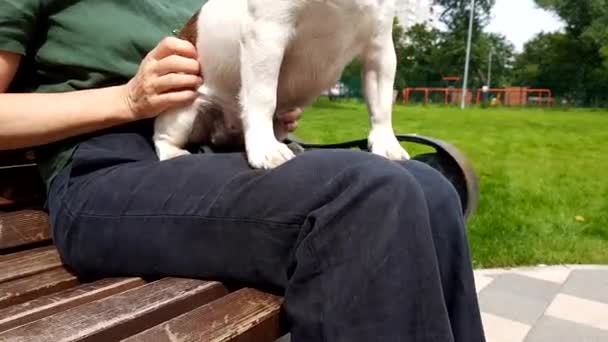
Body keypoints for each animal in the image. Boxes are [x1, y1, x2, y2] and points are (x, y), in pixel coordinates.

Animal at [153, 0, 408, 168]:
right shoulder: (268, 32)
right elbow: (263, 96)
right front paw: (266, 148)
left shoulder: (380, 48)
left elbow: (381, 106)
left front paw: (387, 143)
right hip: (181, 108)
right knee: (163, 137)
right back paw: (174, 153)